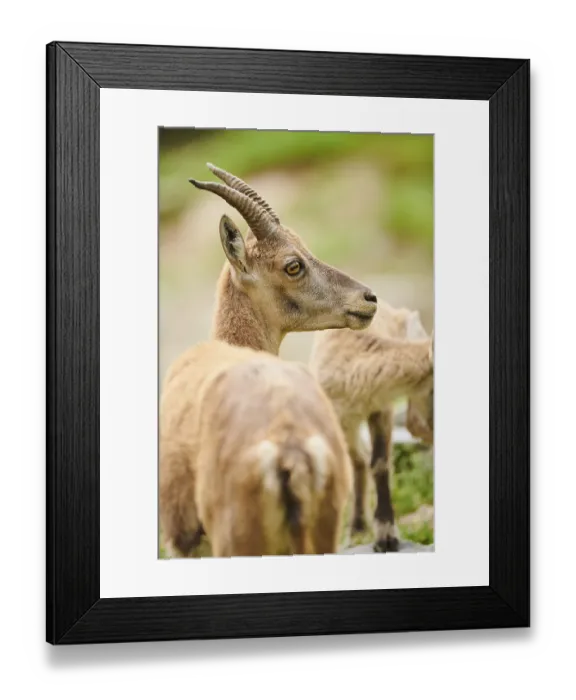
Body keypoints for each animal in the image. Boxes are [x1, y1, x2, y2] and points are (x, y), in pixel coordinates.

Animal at [308, 301, 434, 553]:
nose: (429, 430)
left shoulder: (381, 407)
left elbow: (380, 463)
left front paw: (387, 536)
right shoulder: (337, 417)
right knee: (357, 459)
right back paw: (356, 531)